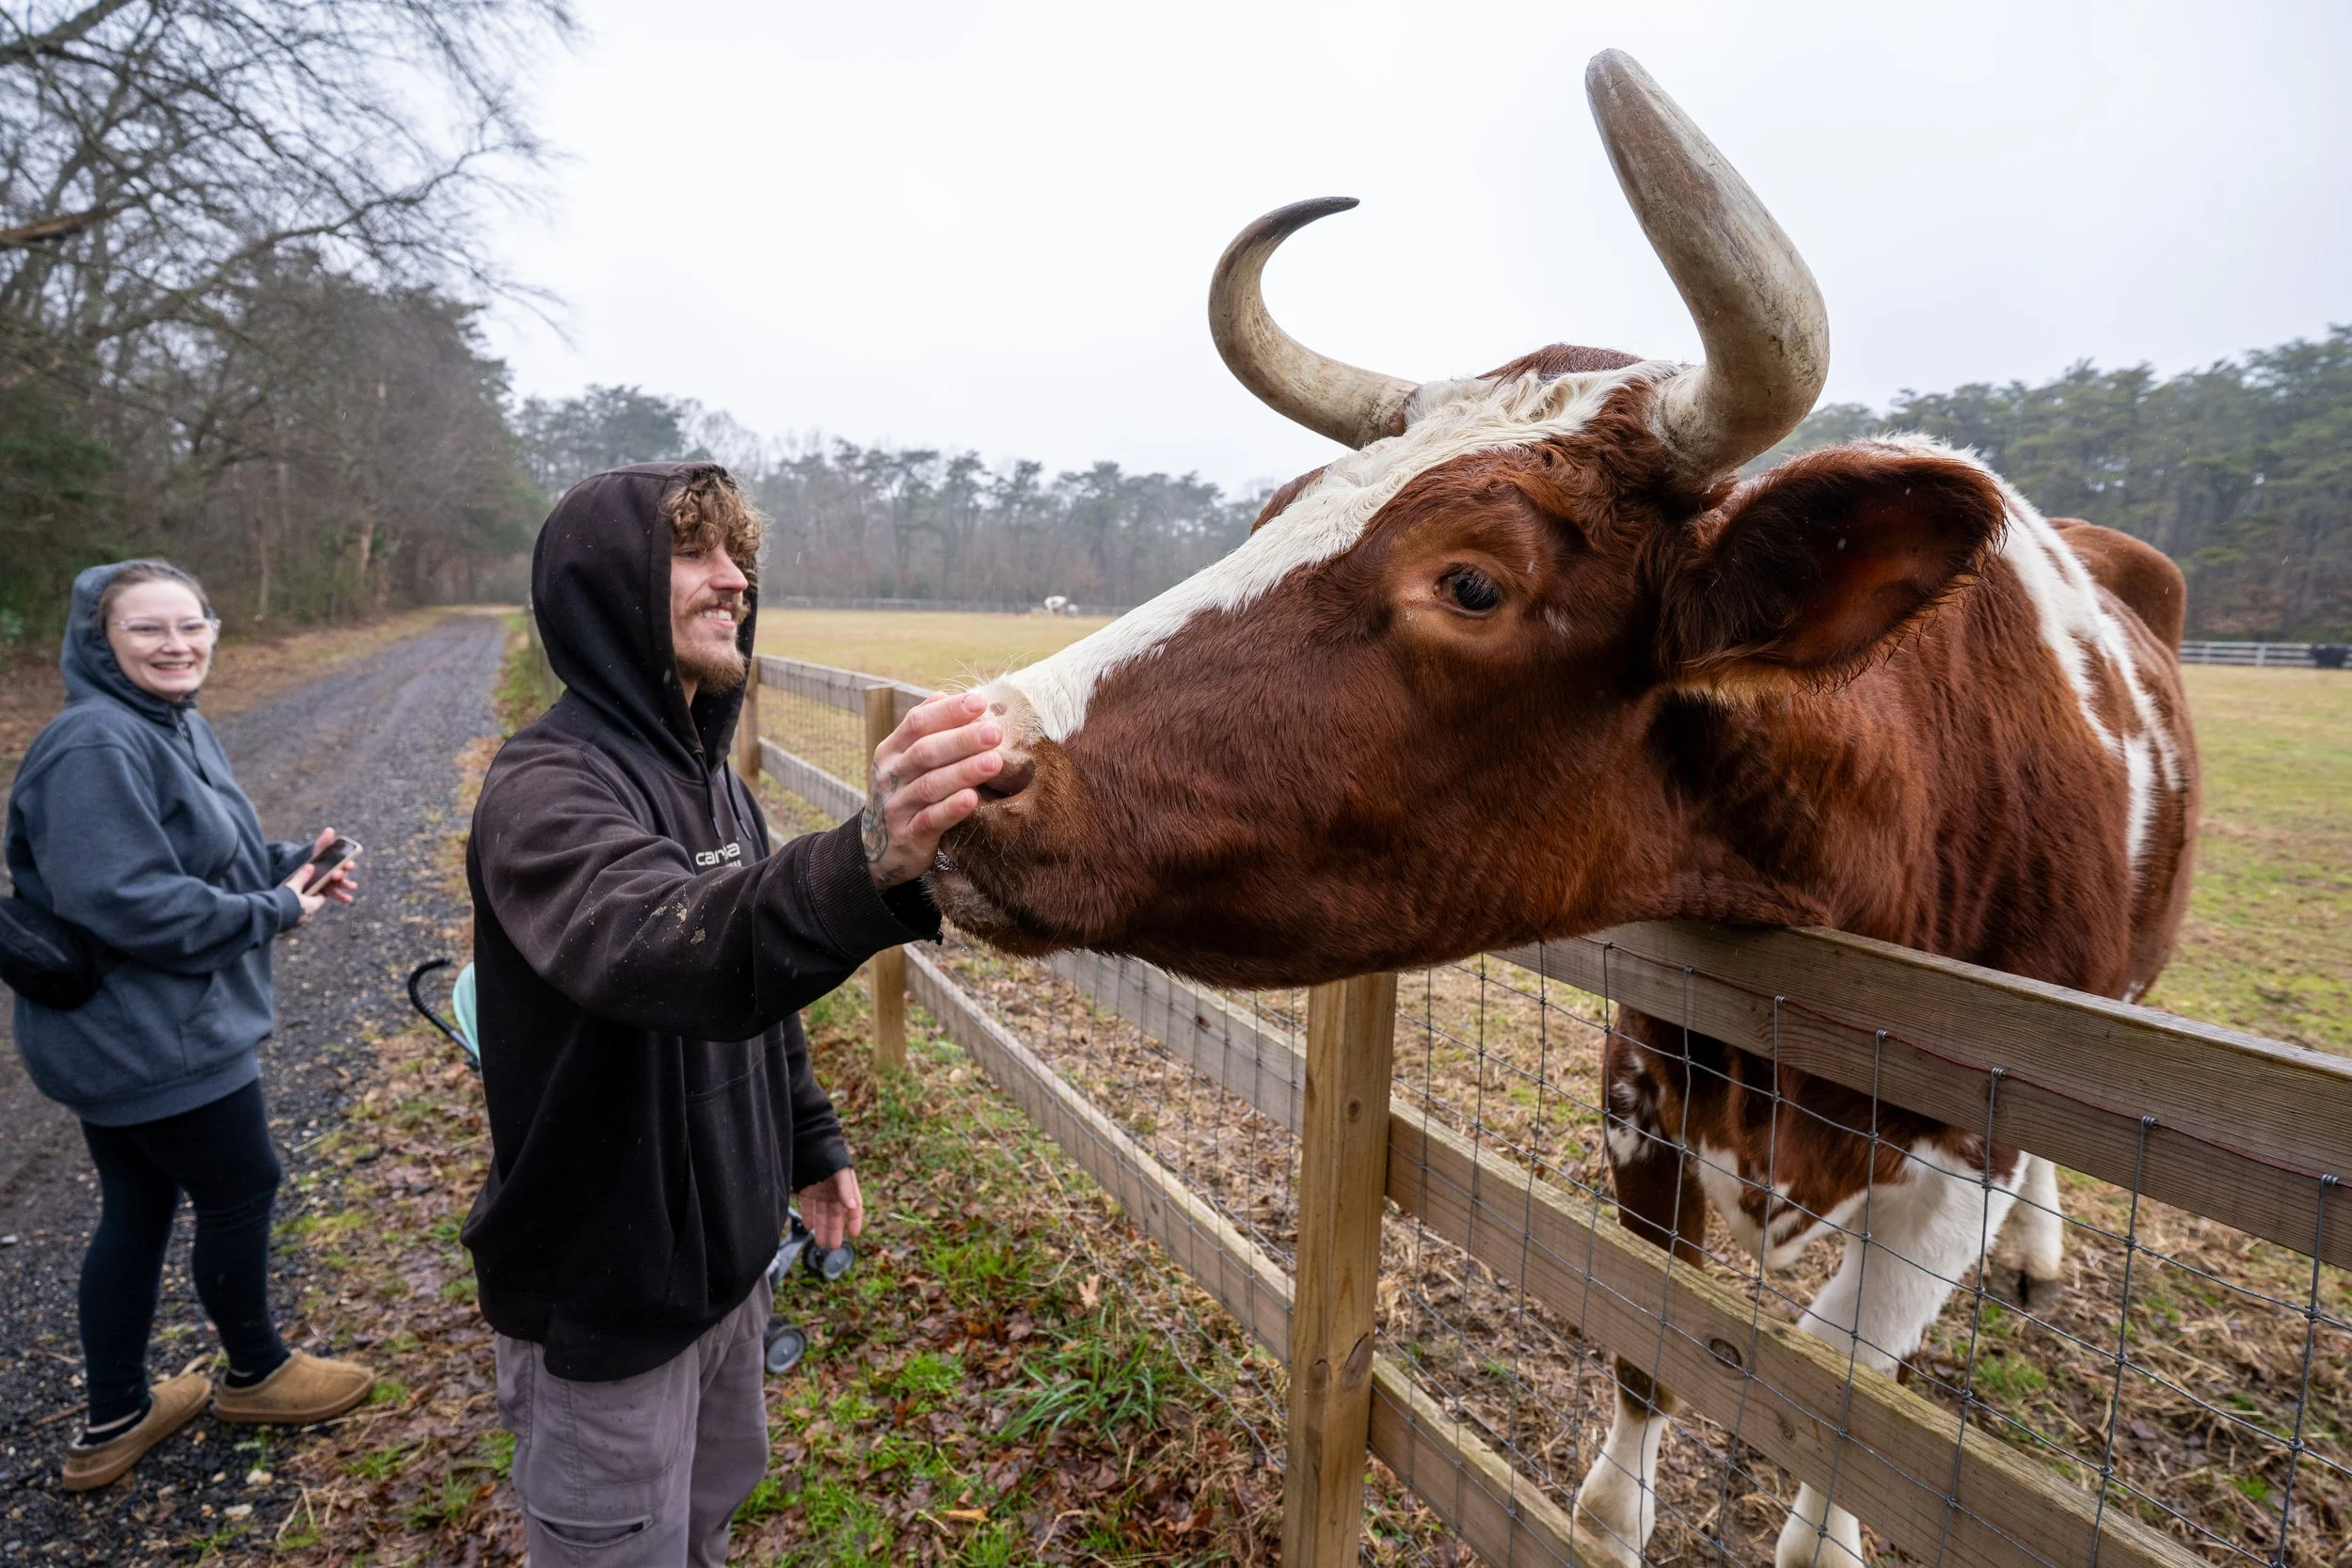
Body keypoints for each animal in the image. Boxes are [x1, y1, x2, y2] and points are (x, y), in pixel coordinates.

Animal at [930, 50, 2198, 1568]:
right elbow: (1649, 1343)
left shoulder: (1964, 1157)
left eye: (1473, 579)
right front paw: (1608, 1514)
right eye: (1275, 511)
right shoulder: (1640, 1093)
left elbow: (1849, 1407)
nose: (971, 754)